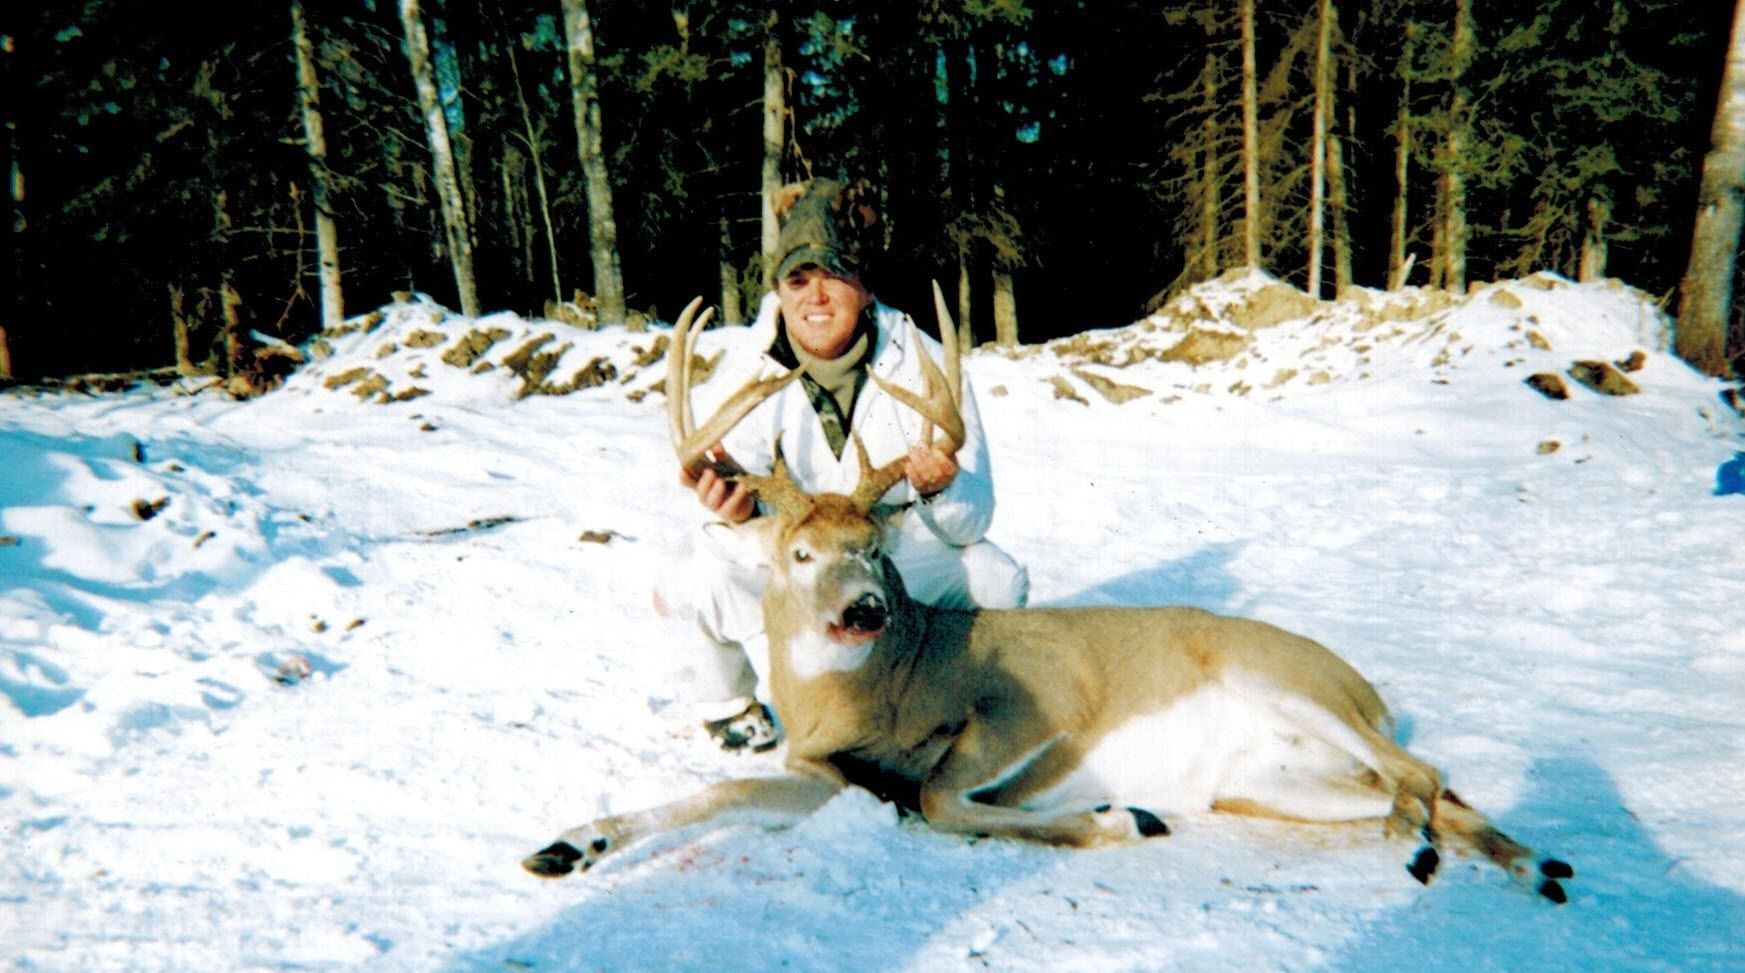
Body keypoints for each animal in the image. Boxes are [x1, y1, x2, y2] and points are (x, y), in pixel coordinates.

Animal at [522, 286, 1575, 904]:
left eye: (874, 544)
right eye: (799, 550)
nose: (862, 609)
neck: (873, 690)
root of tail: (1367, 691)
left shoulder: (1035, 706)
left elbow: (941, 797)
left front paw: (1118, 816)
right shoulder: (828, 768)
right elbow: (726, 789)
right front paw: (568, 845)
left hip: (1277, 677)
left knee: (1424, 772)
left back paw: (1439, 853)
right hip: (1270, 784)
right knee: (1425, 786)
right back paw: (1532, 862)